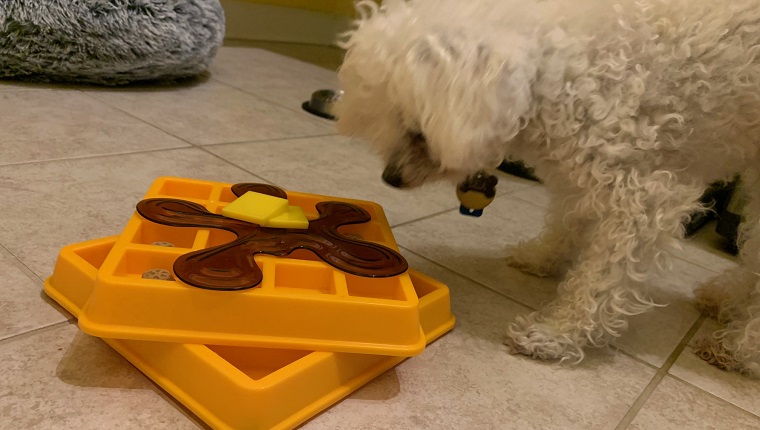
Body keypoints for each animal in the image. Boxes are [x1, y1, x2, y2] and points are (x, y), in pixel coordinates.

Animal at [336, 0, 760, 376]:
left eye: (417, 129)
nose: (390, 178)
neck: (557, 64)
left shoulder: (642, 197)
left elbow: (598, 280)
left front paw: (556, 334)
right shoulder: (580, 173)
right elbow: (567, 221)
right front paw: (542, 258)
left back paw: (738, 349)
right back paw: (724, 299)